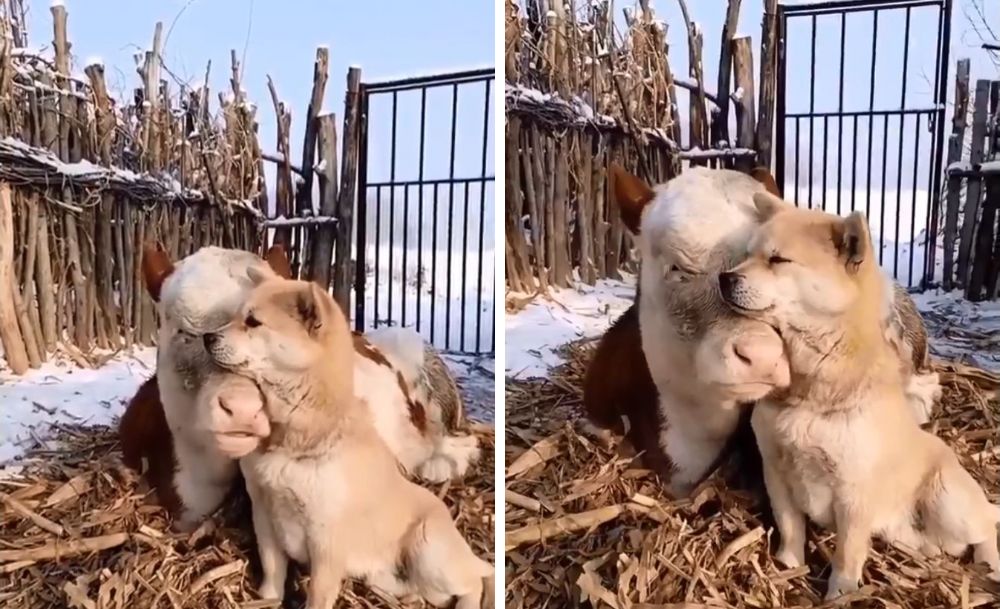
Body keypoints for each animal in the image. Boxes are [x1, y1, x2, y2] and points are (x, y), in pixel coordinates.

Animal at [203, 276, 492, 608]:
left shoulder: (325, 540)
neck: (295, 436)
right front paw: (266, 600)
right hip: (396, 576)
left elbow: (317, 595)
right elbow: (272, 573)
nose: (206, 337)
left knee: (476, 581)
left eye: (252, 322)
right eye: (236, 315)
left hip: (426, 549)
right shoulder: (263, 515)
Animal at [720, 195, 1000, 600]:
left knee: (989, 524)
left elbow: (847, 552)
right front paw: (788, 568)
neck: (810, 391)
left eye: (778, 260)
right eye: (747, 255)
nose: (724, 278)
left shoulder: (853, 493)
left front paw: (841, 593)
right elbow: (790, 527)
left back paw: (991, 563)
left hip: (948, 503)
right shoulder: (776, 471)